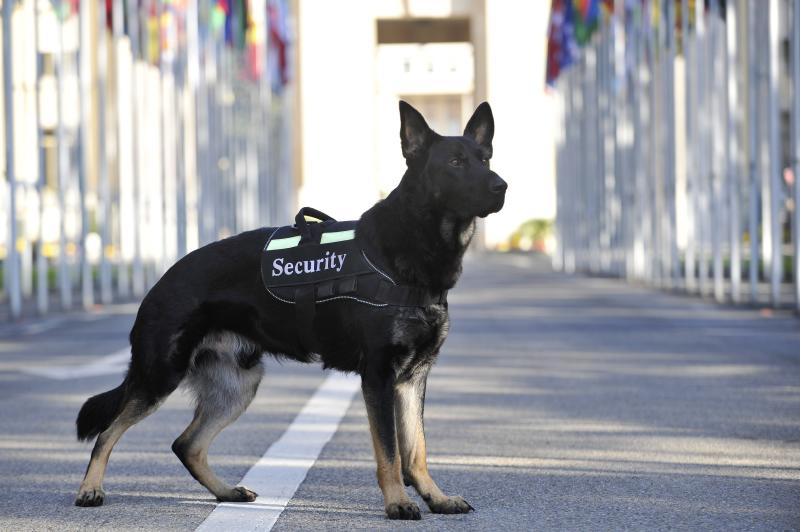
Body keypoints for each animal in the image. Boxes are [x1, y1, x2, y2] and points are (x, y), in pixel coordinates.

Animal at [78, 100, 510, 520]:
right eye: (455, 162)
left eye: (485, 158)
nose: (501, 186)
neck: (413, 247)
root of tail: (159, 284)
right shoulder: (379, 378)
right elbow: (389, 453)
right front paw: (398, 503)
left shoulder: (413, 378)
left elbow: (416, 450)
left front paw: (436, 498)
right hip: (161, 376)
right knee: (108, 431)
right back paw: (90, 489)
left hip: (238, 386)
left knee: (186, 444)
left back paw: (226, 491)